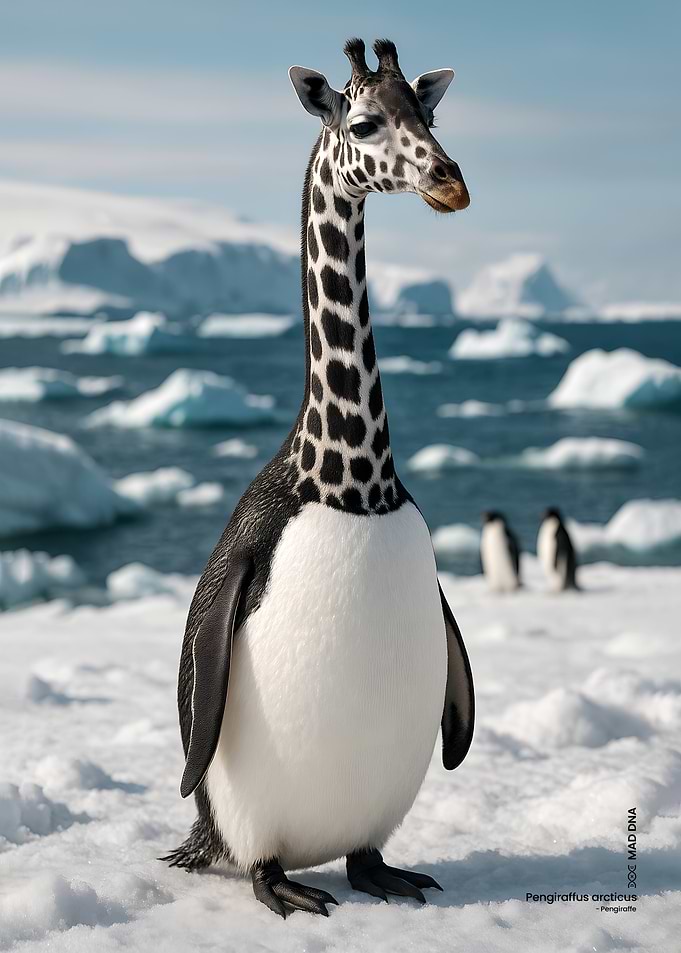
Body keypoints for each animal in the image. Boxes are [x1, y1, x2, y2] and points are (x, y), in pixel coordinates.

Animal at [165, 38, 474, 919]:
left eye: (428, 114)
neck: (354, 477)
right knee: (255, 852)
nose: (448, 179)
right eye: (363, 122)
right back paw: (284, 885)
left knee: (363, 849)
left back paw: (386, 873)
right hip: (237, 819)